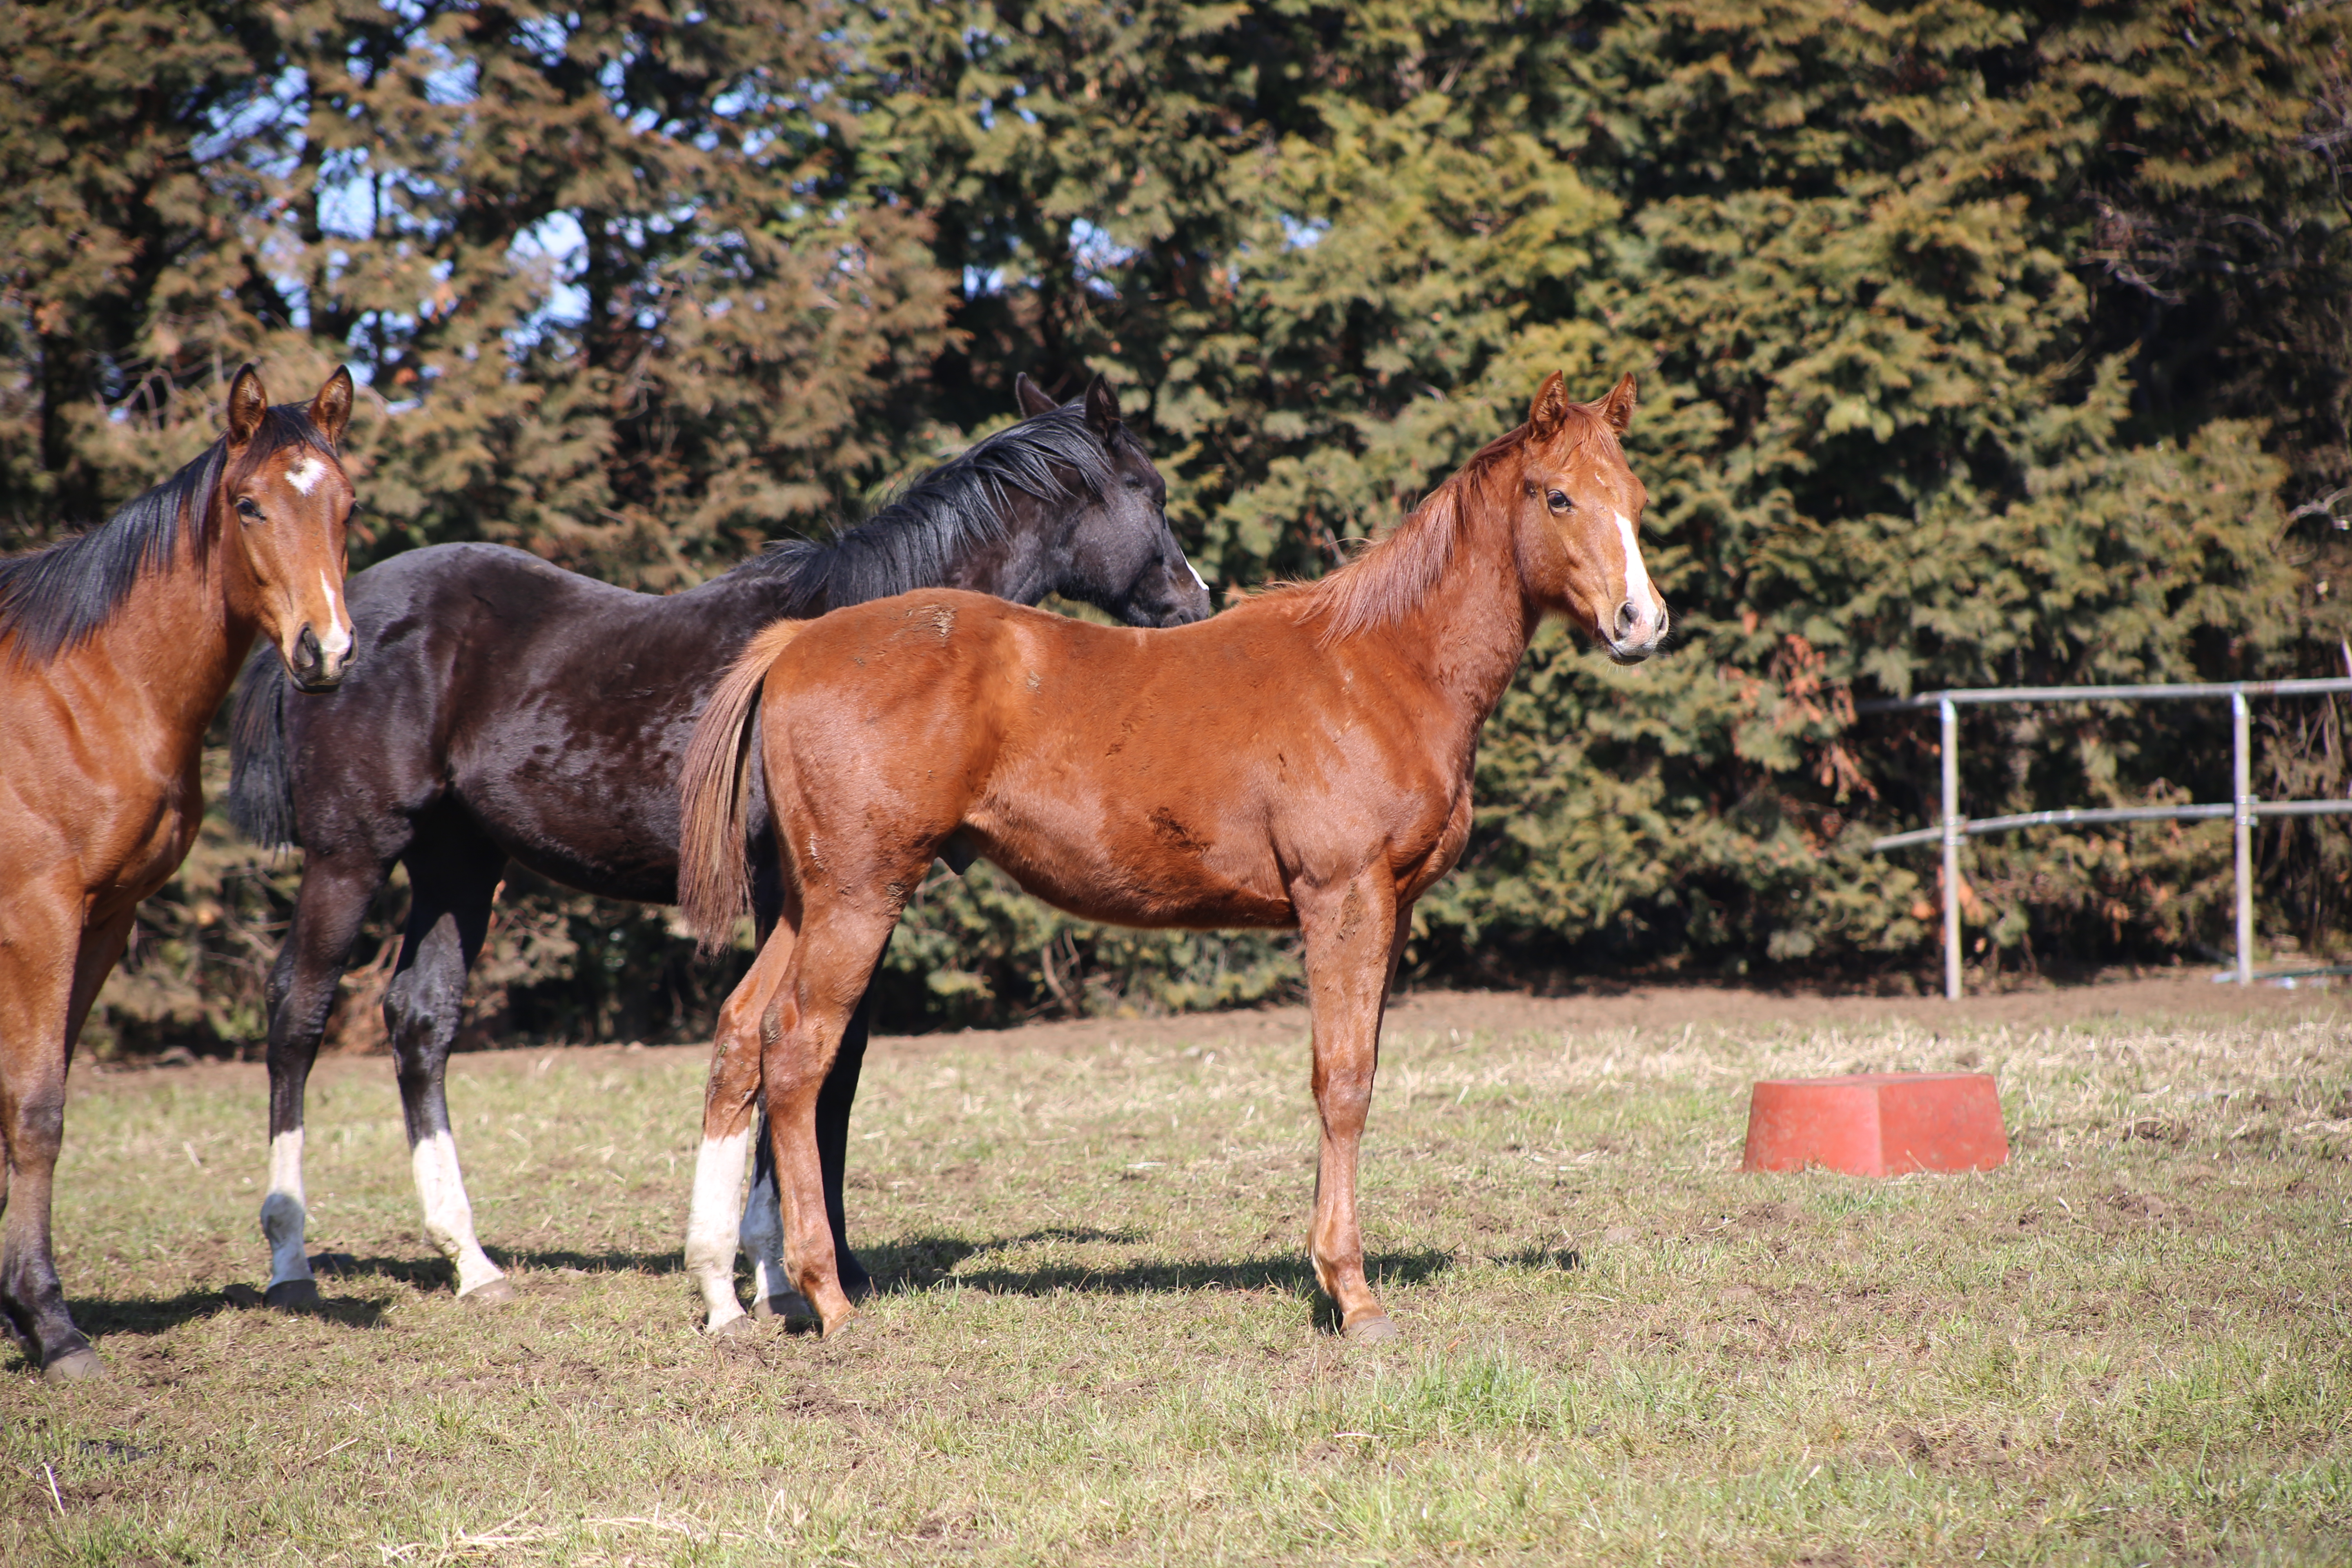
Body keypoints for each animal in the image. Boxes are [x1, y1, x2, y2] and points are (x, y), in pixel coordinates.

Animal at [0, 364, 355, 1373]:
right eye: (249, 505)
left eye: (347, 506)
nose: (326, 651)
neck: (84, 688)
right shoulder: (38, 917)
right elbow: (36, 1110)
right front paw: (51, 1325)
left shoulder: (103, 920)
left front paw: (21, 1310)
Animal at [221, 376, 1204, 1316]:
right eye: (1149, 492)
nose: (1193, 601)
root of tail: (322, 632)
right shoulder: (797, 891)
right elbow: (796, 1057)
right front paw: (781, 1275)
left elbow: (831, 1066)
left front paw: (816, 1264)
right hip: (354, 855)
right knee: (299, 1014)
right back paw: (290, 1262)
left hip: (457, 864)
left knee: (421, 1019)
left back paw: (472, 1262)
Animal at [677, 374, 1675, 1345]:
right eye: (1557, 496)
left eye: (1634, 497)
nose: (1641, 623)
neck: (1381, 664)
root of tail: (795, 644)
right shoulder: (1342, 900)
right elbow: (1342, 1081)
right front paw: (1353, 1295)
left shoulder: (1391, 910)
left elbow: (1359, 1071)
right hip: (859, 898)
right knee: (800, 1056)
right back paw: (827, 1296)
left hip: (807, 904)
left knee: (746, 1036)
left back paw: (732, 1292)